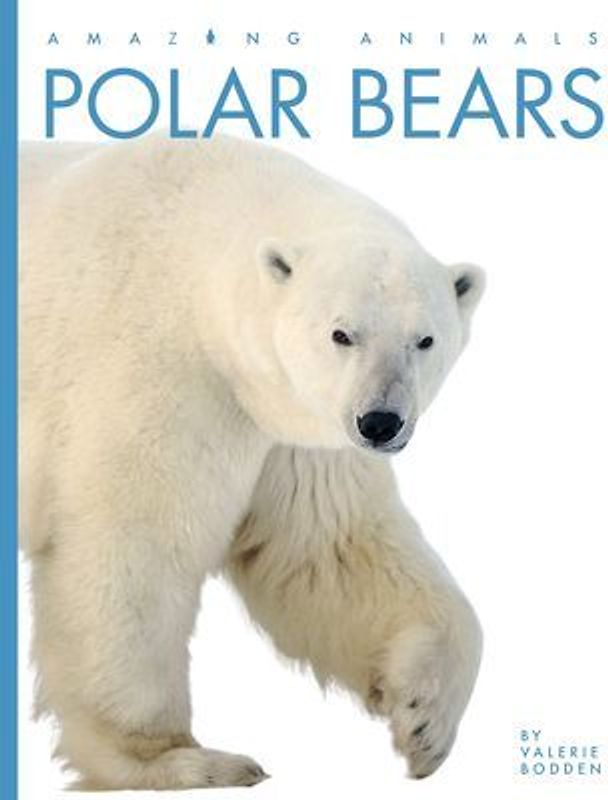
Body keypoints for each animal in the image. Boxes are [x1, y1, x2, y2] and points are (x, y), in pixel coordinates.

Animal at [19, 134, 485, 790]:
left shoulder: (290, 426)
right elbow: (133, 546)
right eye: (341, 333)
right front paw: (178, 759)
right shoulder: (158, 368)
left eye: (425, 340)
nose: (380, 422)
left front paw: (424, 720)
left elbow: (331, 548)